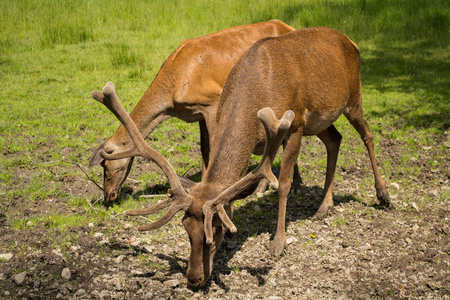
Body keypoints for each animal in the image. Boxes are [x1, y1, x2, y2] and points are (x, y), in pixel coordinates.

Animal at [89, 19, 298, 203]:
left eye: (106, 165)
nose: (108, 196)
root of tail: (290, 26)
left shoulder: (213, 101)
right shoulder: (198, 112)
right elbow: (203, 148)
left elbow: (214, 145)